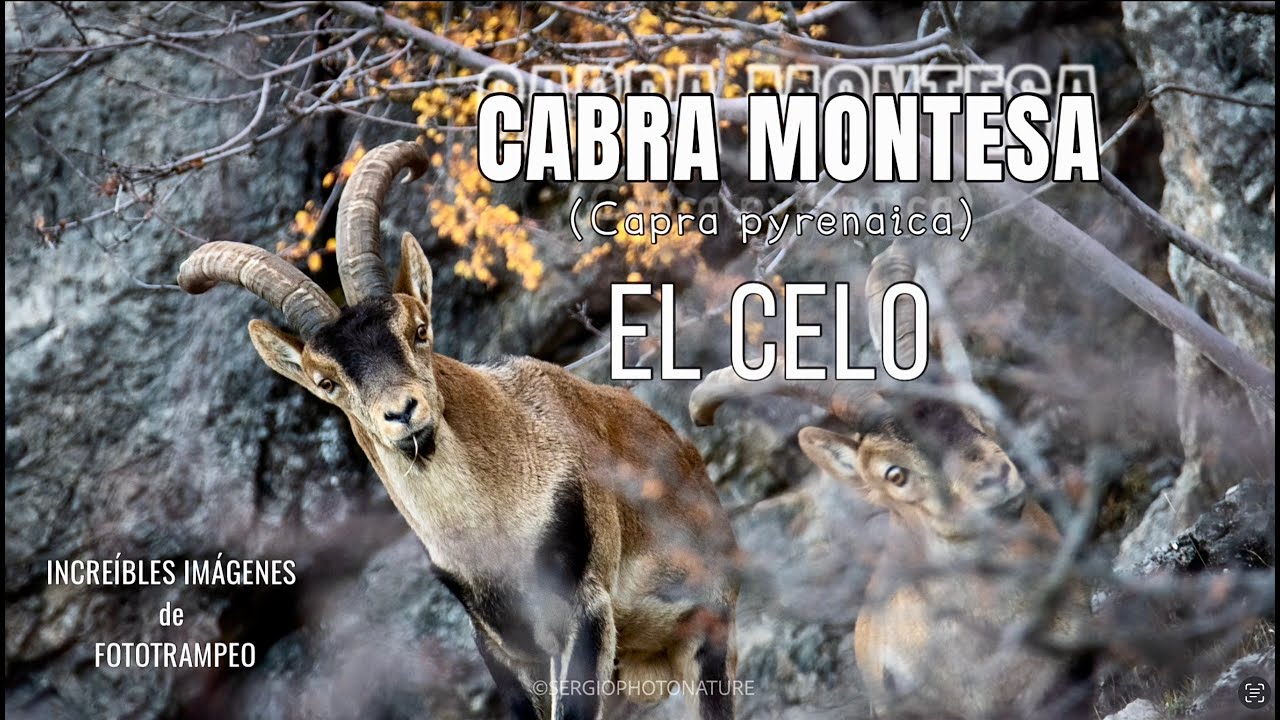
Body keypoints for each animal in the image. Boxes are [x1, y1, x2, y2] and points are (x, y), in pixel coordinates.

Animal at [177, 141, 739, 720]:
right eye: (325, 381)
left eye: (419, 329)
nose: (403, 413)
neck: (495, 526)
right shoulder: (502, 647)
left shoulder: (585, 609)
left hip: (705, 634)